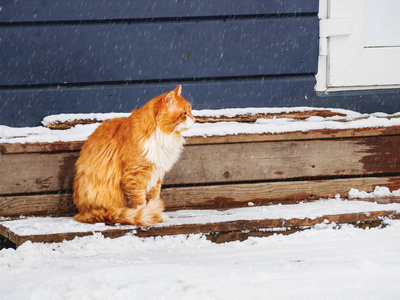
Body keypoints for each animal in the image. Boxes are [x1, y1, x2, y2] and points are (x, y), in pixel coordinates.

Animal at [74, 85, 197, 226]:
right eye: (184, 113)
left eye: (190, 110)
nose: (195, 119)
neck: (162, 136)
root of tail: (83, 211)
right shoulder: (135, 176)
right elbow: (140, 203)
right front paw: (148, 215)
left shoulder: (156, 176)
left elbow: (153, 199)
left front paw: (157, 214)